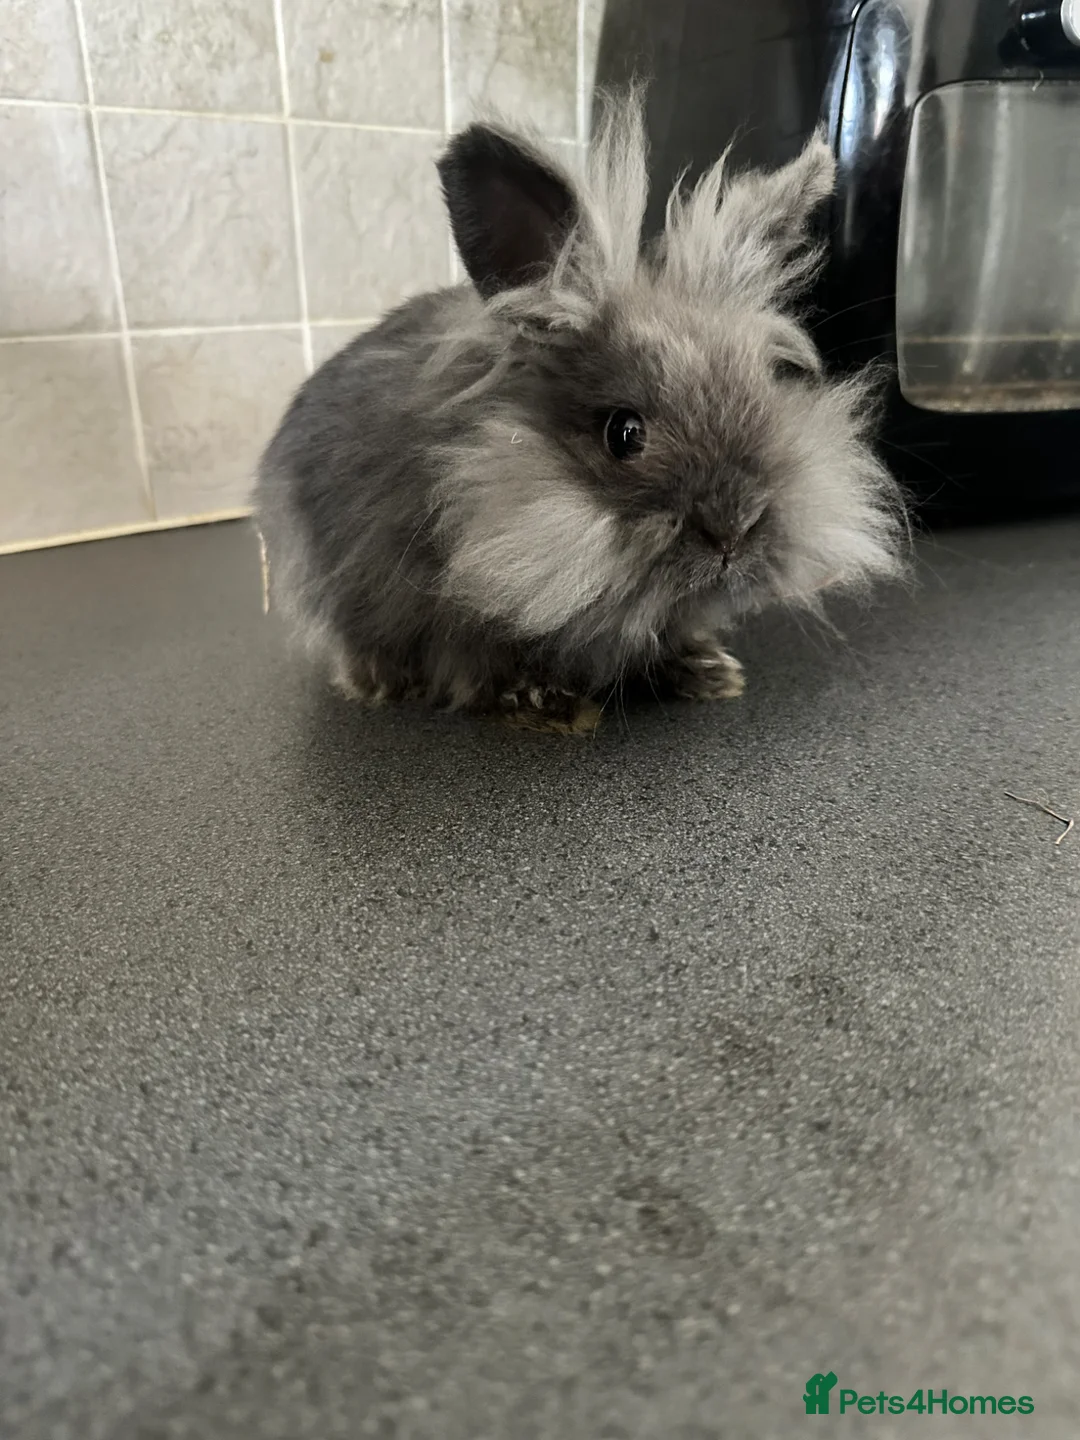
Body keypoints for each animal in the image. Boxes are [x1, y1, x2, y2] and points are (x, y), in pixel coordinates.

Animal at [254, 92, 905, 733]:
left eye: (766, 391)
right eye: (624, 434)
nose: (735, 529)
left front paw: (710, 673)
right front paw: (548, 702)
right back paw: (375, 681)